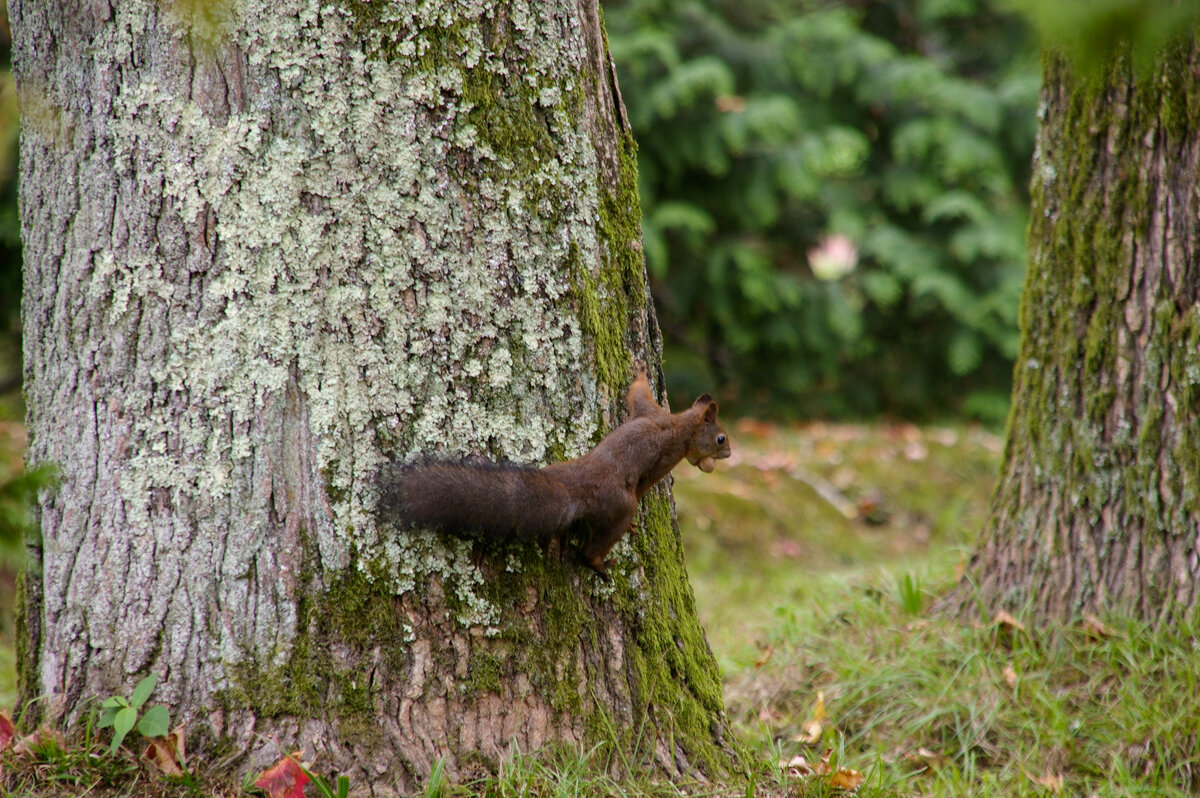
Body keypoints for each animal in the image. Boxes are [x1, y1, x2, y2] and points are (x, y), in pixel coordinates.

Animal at [376, 364, 729, 576]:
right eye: (721, 438)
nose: (728, 453)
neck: (679, 423)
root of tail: (578, 486)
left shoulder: (647, 410)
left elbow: (637, 392)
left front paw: (639, 369)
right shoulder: (666, 455)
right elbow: (645, 483)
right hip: (619, 506)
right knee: (594, 546)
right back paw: (600, 561)